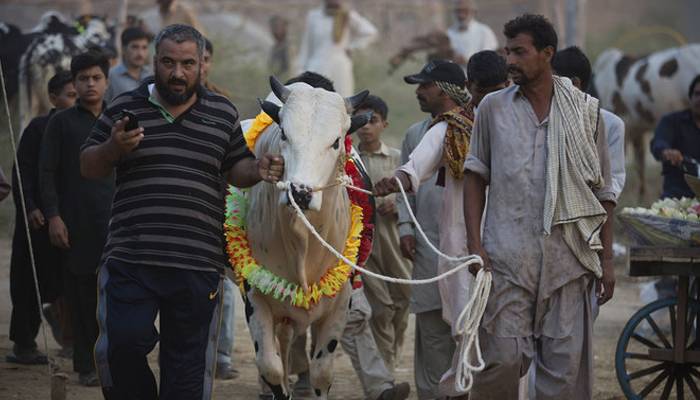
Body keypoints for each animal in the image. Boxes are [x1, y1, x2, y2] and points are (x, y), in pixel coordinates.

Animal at [242, 76, 372, 398]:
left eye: (336, 141)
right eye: (284, 134)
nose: (300, 192)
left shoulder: (340, 302)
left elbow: (322, 373)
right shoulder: (254, 293)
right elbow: (270, 366)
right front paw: (277, 387)